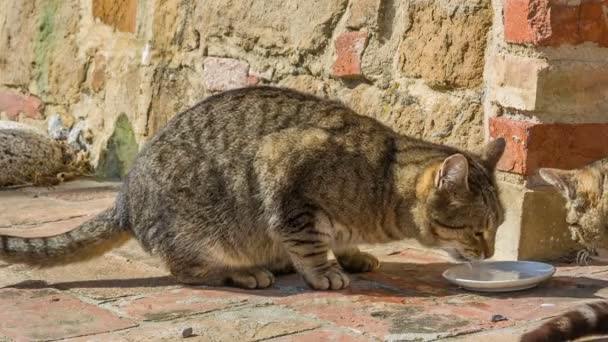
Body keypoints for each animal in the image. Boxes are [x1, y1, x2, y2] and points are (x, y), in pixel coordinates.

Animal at [0, 87, 504, 290]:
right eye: (478, 229)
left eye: (499, 224)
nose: (492, 252)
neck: (382, 181)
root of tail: (125, 197)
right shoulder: (283, 167)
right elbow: (309, 242)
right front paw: (325, 271)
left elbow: (336, 240)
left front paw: (352, 254)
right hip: (199, 229)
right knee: (186, 270)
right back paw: (243, 272)